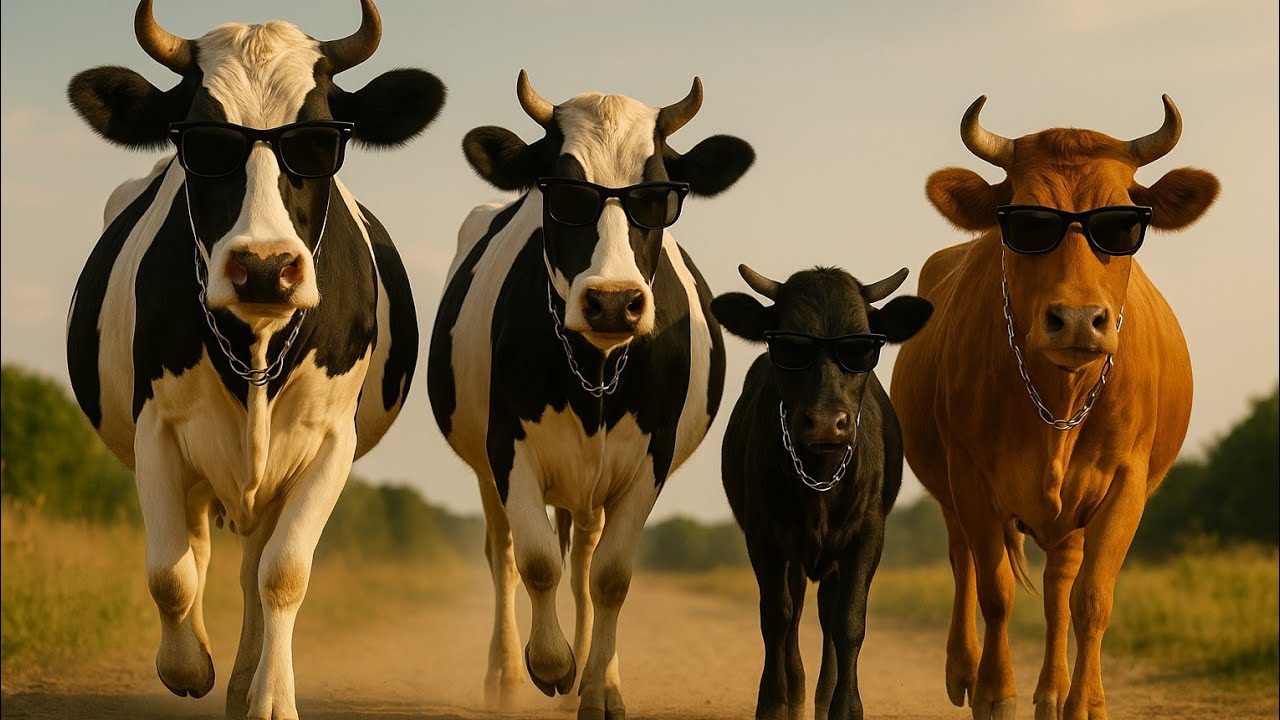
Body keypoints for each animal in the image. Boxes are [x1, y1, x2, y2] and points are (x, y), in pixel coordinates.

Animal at [64, 2, 445, 718]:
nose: (265, 267)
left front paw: (271, 696)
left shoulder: (332, 441)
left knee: (251, 568)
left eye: (319, 140)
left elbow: (283, 573)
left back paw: (244, 681)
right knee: (201, 551)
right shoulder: (156, 427)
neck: (255, 347)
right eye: (202, 141)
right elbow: (170, 571)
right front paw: (187, 667)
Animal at [426, 71, 754, 718]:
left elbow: (610, 578)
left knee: (583, 561)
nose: (612, 301)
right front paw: (550, 663)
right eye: (563, 190)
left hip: (592, 486)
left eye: (658, 195)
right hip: (488, 467)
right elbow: (535, 561)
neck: (594, 374)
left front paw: (600, 688)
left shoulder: (650, 459)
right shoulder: (508, 447)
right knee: (504, 554)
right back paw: (506, 675)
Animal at [712, 264, 932, 720]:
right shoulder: (762, 534)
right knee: (794, 609)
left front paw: (845, 706)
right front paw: (773, 702)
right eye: (789, 345)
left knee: (828, 610)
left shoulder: (868, 534)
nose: (828, 422)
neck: (818, 477)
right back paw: (796, 693)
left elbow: (849, 620)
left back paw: (822, 694)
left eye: (861, 346)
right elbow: (776, 616)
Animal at [890, 96, 1219, 720]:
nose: (1077, 319)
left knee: (1059, 586)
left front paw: (1083, 702)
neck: (1057, 408)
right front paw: (995, 692)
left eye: (1123, 222)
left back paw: (1052, 691)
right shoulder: (969, 475)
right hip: (947, 486)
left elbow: (1091, 598)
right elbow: (994, 588)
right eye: (1025, 222)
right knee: (962, 559)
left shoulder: (1127, 481)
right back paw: (964, 669)